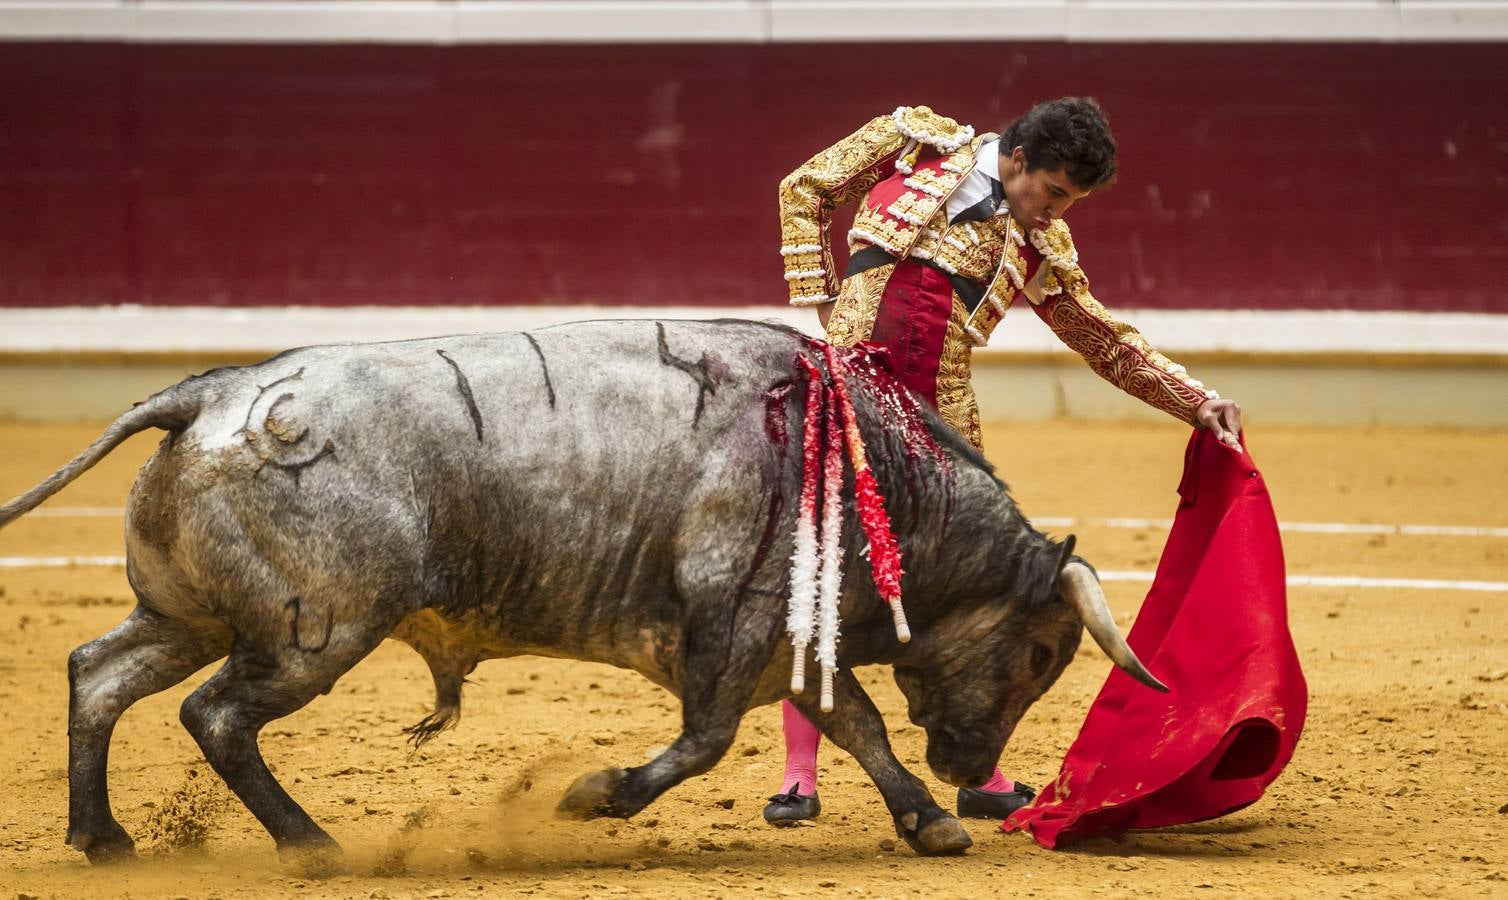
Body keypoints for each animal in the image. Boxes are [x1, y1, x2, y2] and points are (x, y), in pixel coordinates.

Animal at [0, 319, 1164, 868]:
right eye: (1041, 654)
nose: (972, 770)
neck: (873, 470)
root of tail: (213, 394)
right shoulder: (737, 622)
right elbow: (707, 741)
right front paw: (590, 795)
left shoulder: (788, 637)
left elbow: (858, 725)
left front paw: (930, 825)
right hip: (313, 633)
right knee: (215, 714)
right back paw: (308, 844)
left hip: (187, 615)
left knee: (99, 675)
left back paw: (103, 839)